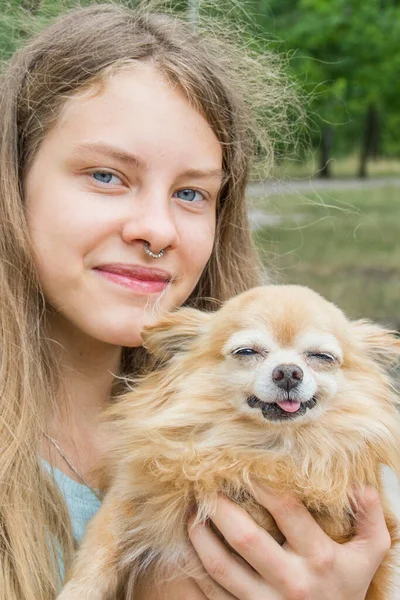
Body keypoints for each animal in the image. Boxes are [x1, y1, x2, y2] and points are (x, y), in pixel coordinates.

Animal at [57, 286, 400, 600]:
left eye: (321, 357)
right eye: (246, 352)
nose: (289, 372)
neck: (263, 447)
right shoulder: (131, 494)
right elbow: (100, 551)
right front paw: (77, 593)